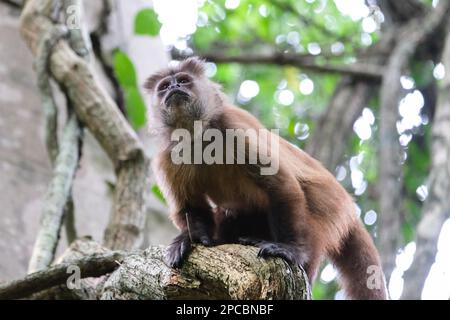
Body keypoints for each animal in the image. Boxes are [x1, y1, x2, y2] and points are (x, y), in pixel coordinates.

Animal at [144, 57, 386, 300]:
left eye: (184, 80)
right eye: (164, 86)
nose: (175, 87)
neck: (198, 136)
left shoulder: (233, 128)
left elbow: (280, 185)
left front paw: (290, 249)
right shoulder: (167, 155)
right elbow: (190, 206)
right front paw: (193, 239)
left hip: (331, 207)